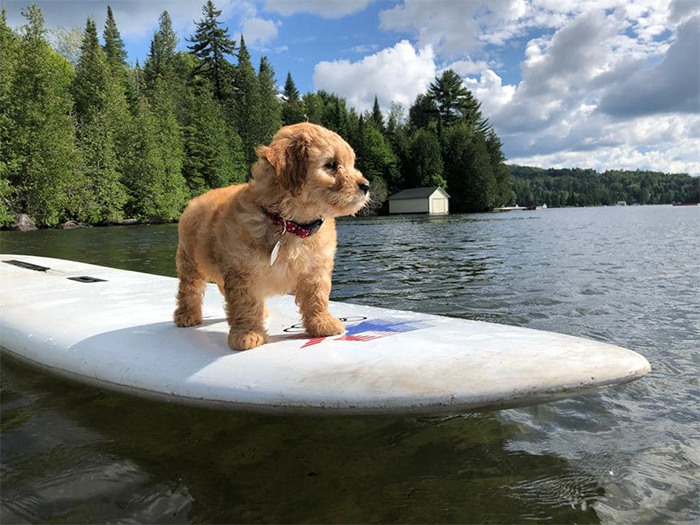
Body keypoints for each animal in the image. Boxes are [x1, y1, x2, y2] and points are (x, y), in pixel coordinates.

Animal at [174, 122, 370, 350]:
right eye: (331, 164)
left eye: (351, 163)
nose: (365, 186)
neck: (291, 224)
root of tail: (196, 200)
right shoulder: (243, 271)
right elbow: (245, 303)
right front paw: (247, 334)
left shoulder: (316, 268)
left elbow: (317, 296)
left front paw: (323, 324)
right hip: (189, 260)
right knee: (189, 289)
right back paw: (186, 315)